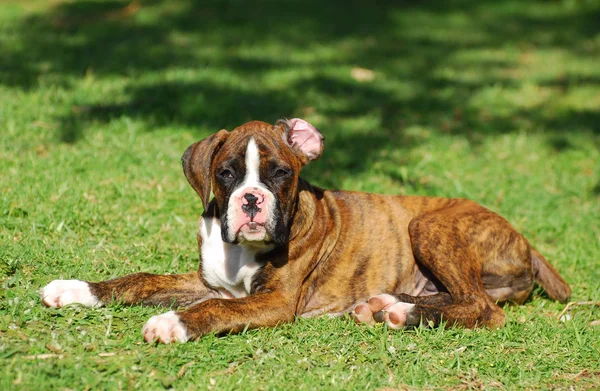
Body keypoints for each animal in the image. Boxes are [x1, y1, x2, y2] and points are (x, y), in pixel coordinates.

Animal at [38, 118, 572, 344]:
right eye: (226, 174)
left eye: (280, 174)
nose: (251, 200)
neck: (240, 251)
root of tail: (525, 241)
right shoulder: (209, 281)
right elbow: (139, 279)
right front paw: (75, 290)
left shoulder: (272, 301)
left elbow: (213, 310)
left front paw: (173, 323)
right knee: (460, 298)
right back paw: (388, 305)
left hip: (429, 223)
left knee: (482, 308)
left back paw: (401, 314)